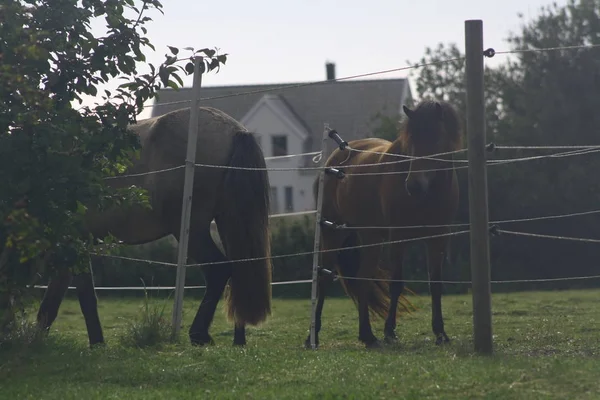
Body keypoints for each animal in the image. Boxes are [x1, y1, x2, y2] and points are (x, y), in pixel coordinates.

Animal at [37, 106, 272, 346]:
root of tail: (234, 130)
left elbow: (81, 297)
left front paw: (95, 342)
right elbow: (55, 302)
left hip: (190, 229)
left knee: (219, 270)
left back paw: (199, 334)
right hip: (228, 222)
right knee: (240, 270)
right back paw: (238, 339)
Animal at [304, 99, 464, 346]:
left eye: (436, 137)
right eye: (411, 140)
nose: (413, 185)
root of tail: (333, 161)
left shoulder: (438, 239)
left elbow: (435, 283)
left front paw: (440, 333)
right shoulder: (397, 238)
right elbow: (396, 284)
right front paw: (389, 331)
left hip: (370, 237)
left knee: (363, 278)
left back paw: (367, 335)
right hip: (334, 234)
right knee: (324, 278)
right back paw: (314, 335)